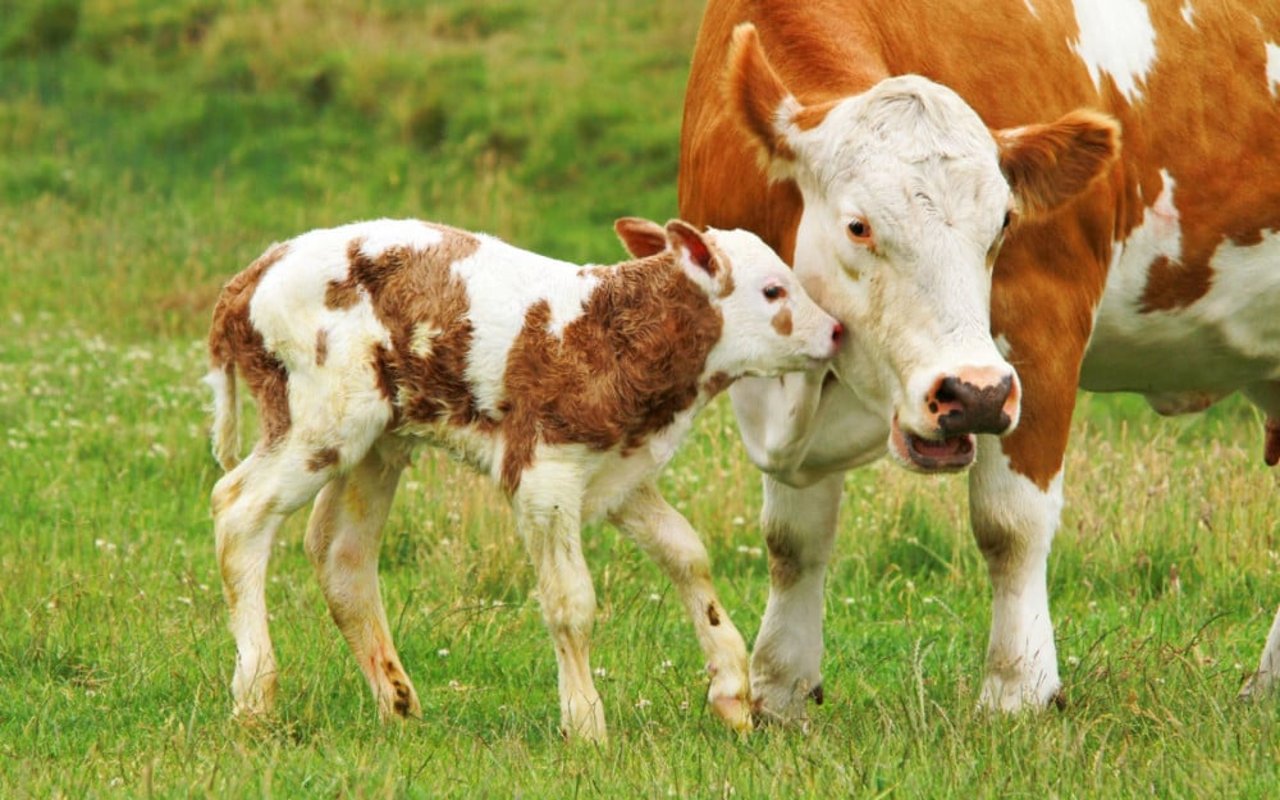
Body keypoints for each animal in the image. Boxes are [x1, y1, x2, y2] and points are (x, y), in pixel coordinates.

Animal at [202, 215, 839, 737]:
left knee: (340, 554)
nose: (835, 330)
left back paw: (398, 703)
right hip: (321, 418)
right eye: (774, 290)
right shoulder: (543, 473)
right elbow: (570, 601)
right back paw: (254, 698)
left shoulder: (617, 469)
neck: (610, 334)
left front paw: (731, 689)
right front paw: (585, 724)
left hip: (378, 440)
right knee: (238, 507)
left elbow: (687, 554)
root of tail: (254, 273)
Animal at [680, 0, 1280, 721]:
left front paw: (1016, 690)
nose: (973, 395)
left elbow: (1010, 522)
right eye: (858, 226)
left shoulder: (1041, 324)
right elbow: (792, 537)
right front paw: (781, 690)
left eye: (1004, 223)